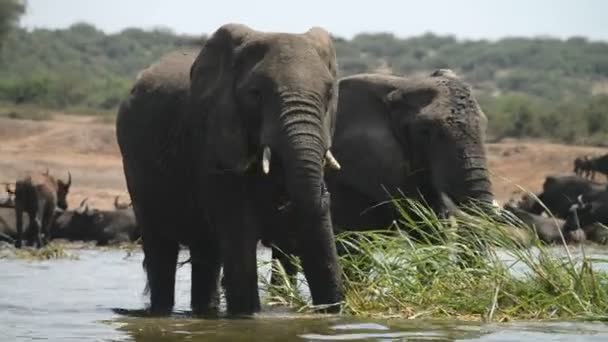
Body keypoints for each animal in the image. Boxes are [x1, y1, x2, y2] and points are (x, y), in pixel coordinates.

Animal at [114, 24, 342, 316]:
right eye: (256, 94)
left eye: (329, 94)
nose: (325, 193)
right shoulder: (213, 140)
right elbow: (239, 227)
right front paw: (248, 316)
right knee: (161, 247)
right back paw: (162, 312)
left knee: (206, 251)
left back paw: (205, 312)